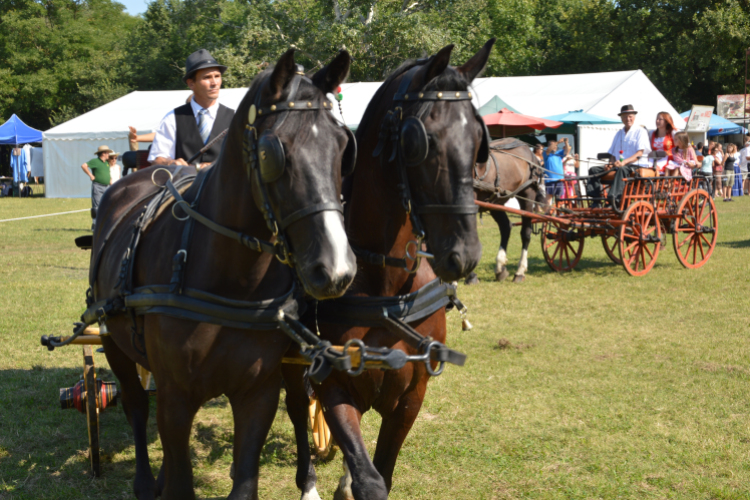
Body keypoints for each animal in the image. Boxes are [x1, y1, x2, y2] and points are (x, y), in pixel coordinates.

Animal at [92, 48, 358, 498]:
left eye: (343, 148)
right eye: (272, 153)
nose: (336, 269)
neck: (231, 278)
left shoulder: (257, 393)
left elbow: (245, 480)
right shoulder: (176, 397)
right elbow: (179, 476)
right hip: (113, 340)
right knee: (136, 404)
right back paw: (146, 480)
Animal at [282, 40, 494, 500]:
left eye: (478, 141)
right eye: (421, 140)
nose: (465, 255)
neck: (384, 284)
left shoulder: (411, 396)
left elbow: (383, 471)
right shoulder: (332, 384)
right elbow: (370, 479)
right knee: (296, 407)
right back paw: (309, 484)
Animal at [468, 139, 544, 284]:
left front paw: (469, 276)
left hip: (527, 195)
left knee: (525, 232)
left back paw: (520, 271)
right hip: (496, 202)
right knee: (505, 226)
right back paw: (500, 268)